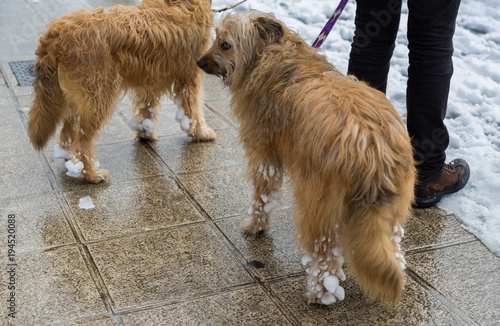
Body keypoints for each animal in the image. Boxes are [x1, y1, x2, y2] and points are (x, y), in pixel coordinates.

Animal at [27, 0, 215, 183]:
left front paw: (146, 133)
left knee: (67, 131)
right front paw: (200, 132)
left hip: (73, 96)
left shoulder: (148, 81)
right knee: (82, 142)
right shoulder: (190, 78)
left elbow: (147, 110)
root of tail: (56, 33)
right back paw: (90, 174)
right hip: (98, 95)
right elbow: (193, 110)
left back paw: (69, 159)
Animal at [197, 10, 416, 306]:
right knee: (390, 249)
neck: (273, 55)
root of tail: (371, 145)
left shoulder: (264, 155)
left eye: (225, 44)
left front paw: (255, 226)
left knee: (324, 255)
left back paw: (321, 294)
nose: (199, 62)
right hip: (391, 210)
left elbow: (262, 197)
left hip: (318, 204)